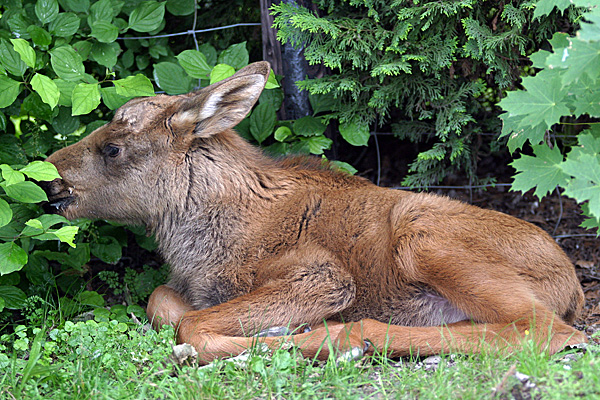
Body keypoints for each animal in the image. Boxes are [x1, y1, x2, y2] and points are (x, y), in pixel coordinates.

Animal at [45, 61, 584, 362]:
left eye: (113, 148)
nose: (49, 180)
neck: (195, 242)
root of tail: (574, 286)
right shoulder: (183, 287)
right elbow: (163, 301)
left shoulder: (322, 274)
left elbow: (191, 326)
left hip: (423, 235)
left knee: (547, 331)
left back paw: (347, 339)